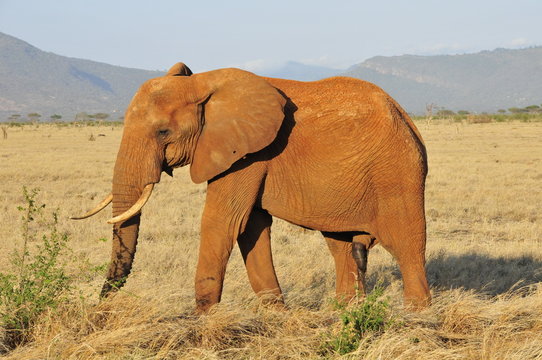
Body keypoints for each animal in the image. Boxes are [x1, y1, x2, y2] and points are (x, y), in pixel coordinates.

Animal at [74, 61, 434, 312]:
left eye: (163, 132)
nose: (100, 305)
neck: (202, 83)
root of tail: (406, 117)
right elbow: (251, 226)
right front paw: (277, 315)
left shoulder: (248, 153)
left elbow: (223, 222)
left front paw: (202, 321)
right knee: (341, 247)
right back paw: (344, 313)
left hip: (397, 173)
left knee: (406, 247)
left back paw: (416, 318)